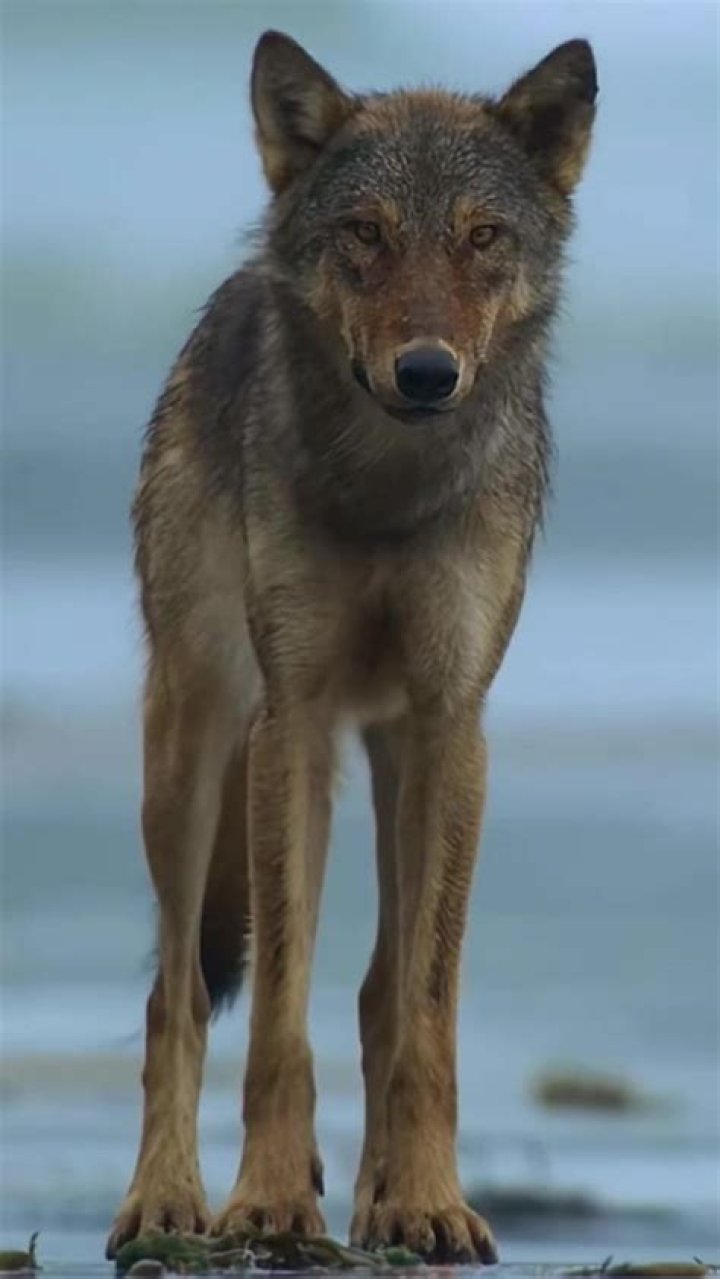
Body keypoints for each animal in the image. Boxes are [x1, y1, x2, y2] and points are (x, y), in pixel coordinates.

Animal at [106, 29, 597, 1265]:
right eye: (366, 233)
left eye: (482, 237)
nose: (425, 372)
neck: (390, 493)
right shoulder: (293, 719)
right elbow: (277, 1015)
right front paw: (269, 1200)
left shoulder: (450, 726)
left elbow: (423, 1009)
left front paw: (424, 1201)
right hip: (196, 746)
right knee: (177, 993)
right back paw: (165, 1202)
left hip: (383, 759)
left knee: (378, 991)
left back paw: (378, 1200)